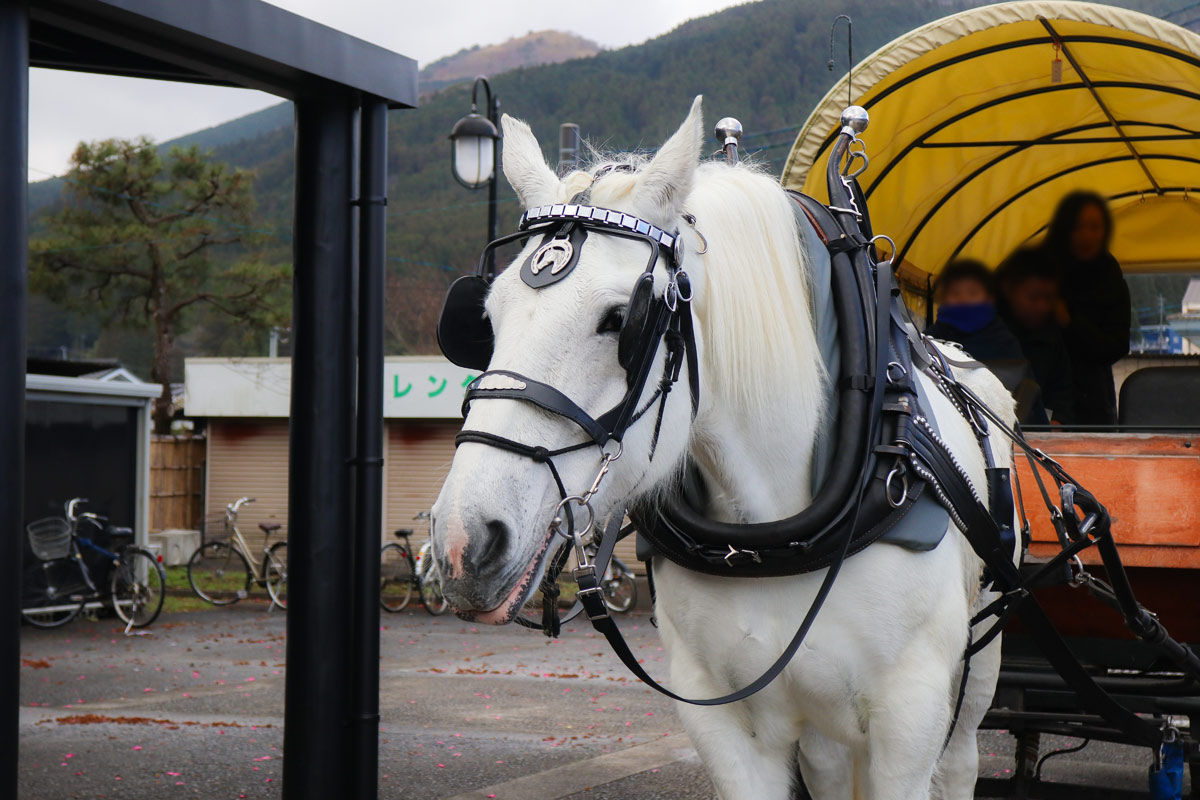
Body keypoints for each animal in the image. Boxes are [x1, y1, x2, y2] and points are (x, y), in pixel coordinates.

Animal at [431, 96, 1019, 800]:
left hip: (977, 661)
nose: (463, 543)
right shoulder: (722, 718)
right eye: (486, 319)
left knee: (959, 762)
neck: (773, 538)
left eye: (618, 320)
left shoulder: (910, 717)